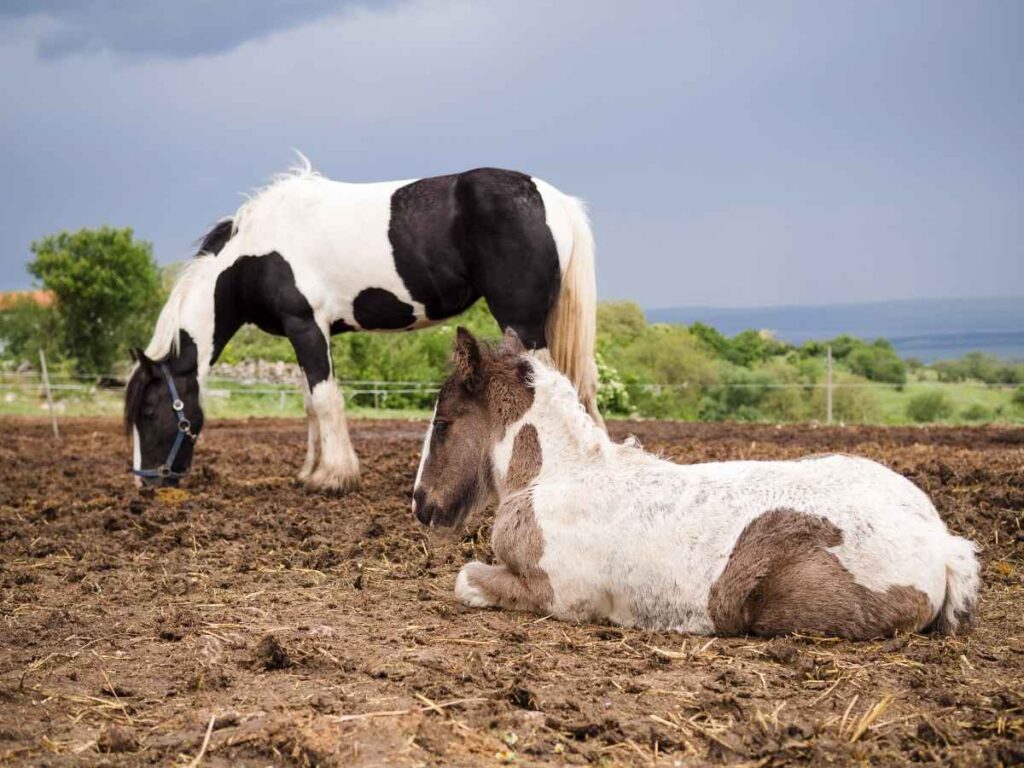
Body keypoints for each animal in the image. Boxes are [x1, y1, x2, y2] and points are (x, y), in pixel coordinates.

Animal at [125, 157, 601, 490]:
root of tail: (555, 202)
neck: (255, 252)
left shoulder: (305, 326)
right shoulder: (308, 332)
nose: (146, 481)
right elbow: (310, 403)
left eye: (148, 411)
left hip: (521, 320)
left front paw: (333, 477)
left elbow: (324, 400)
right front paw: (310, 471)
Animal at [412, 328, 981, 639]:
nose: (421, 503)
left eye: (442, 424)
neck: (559, 476)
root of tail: (940, 542)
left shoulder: (556, 595)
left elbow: (464, 577)